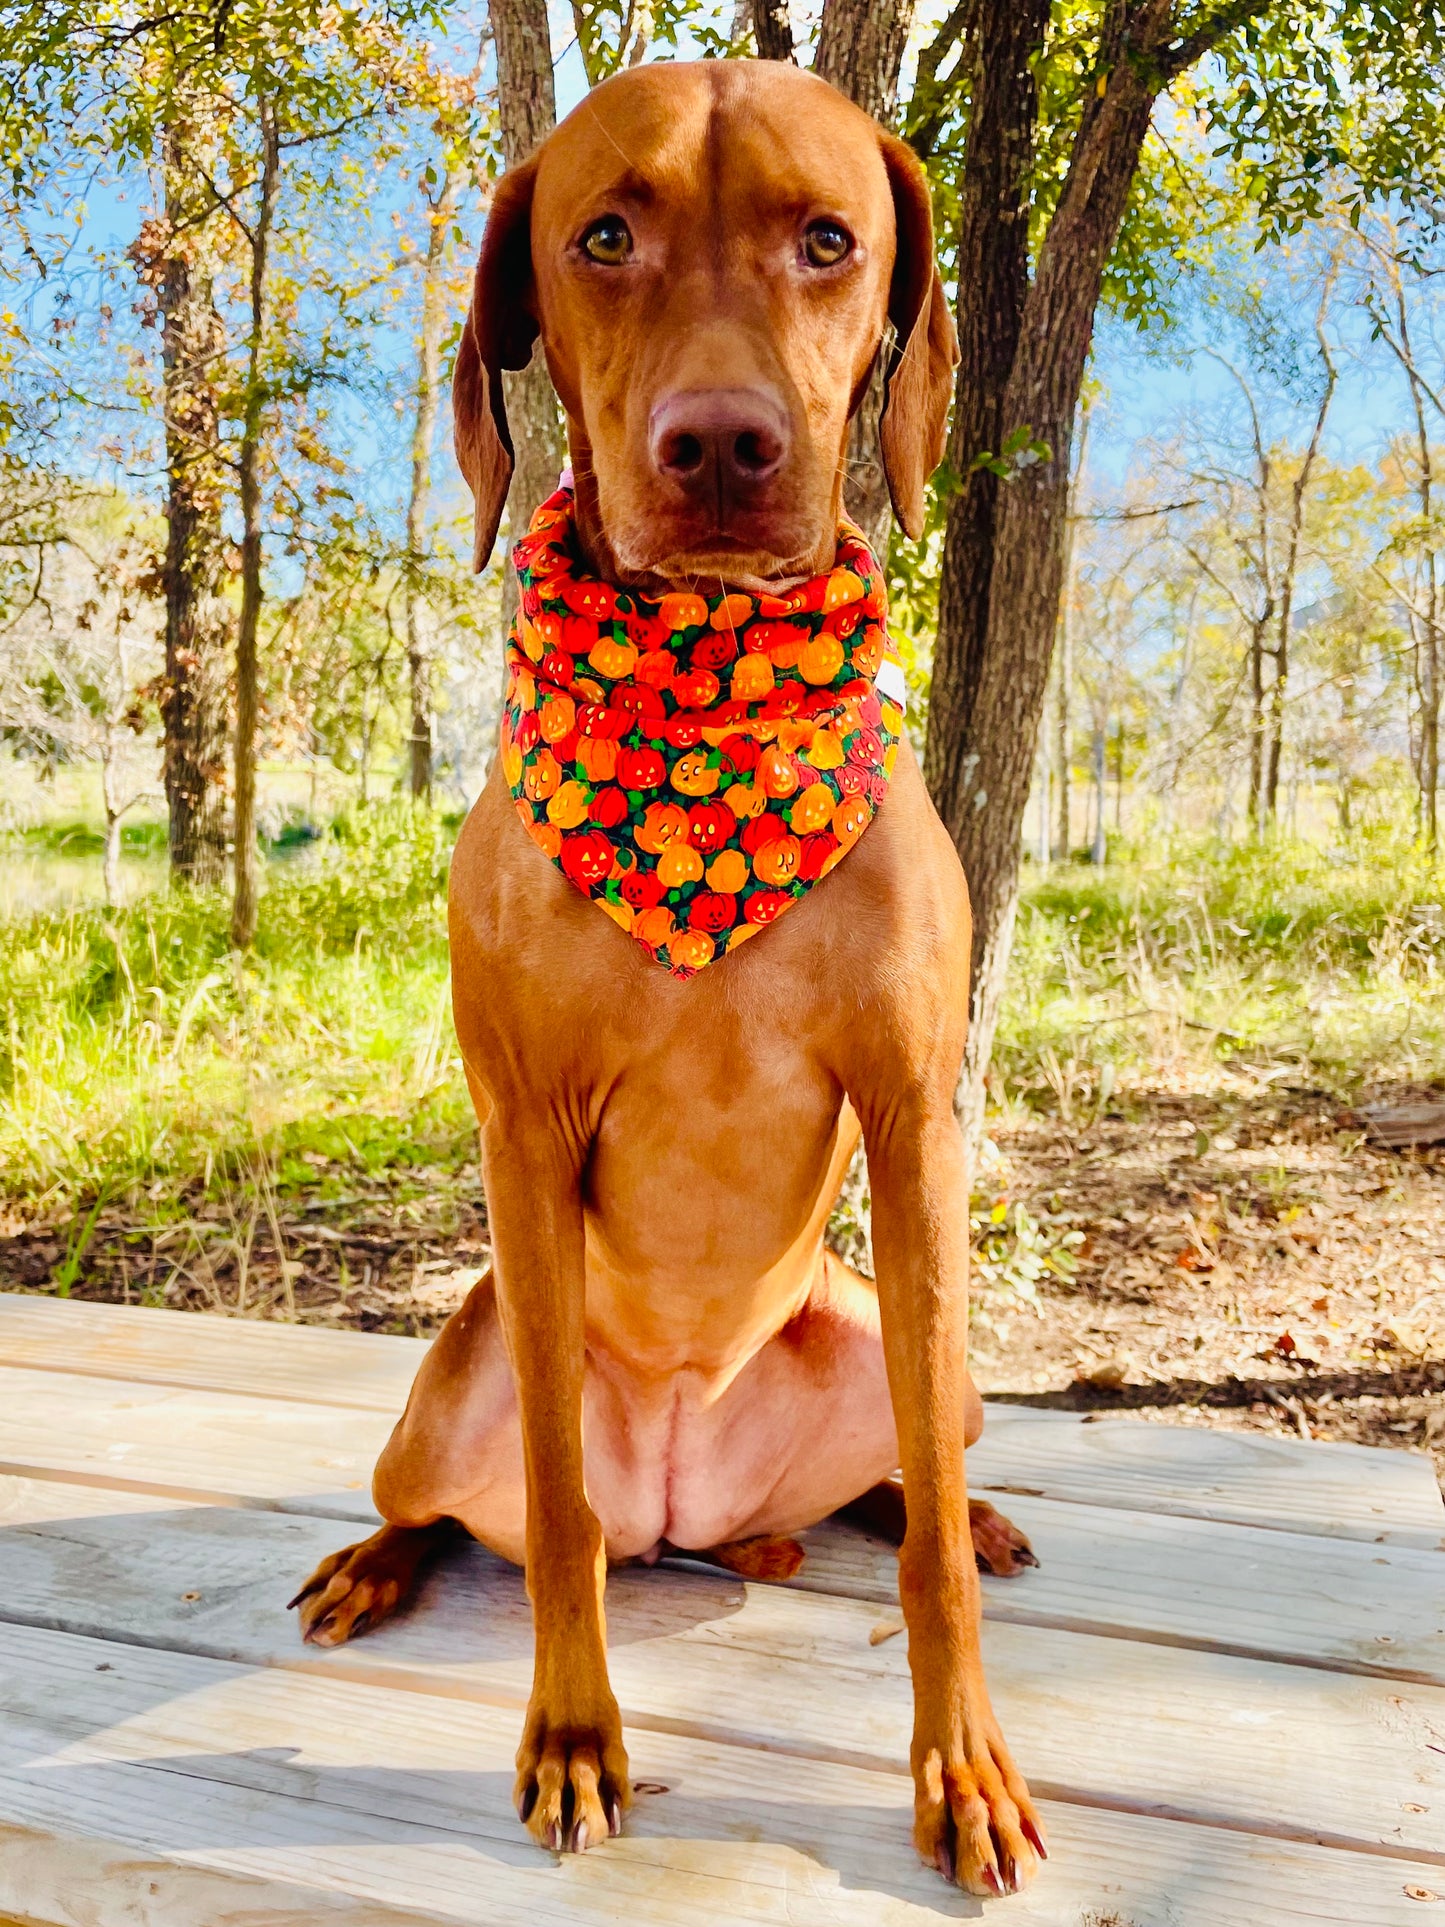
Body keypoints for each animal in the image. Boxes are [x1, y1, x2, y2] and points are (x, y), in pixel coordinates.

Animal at [290, 56, 1040, 1896]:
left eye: (829, 238)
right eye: (603, 235)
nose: (718, 445)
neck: (705, 705)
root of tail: (697, 1511)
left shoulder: (914, 1127)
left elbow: (927, 1554)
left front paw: (961, 1761)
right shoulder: (523, 1126)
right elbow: (556, 1516)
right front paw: (573, 1731)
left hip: (892, 1337)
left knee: (907, 1473)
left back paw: (939, 1506)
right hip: (454, 1375)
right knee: (455, 1503)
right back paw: (374, 1560)